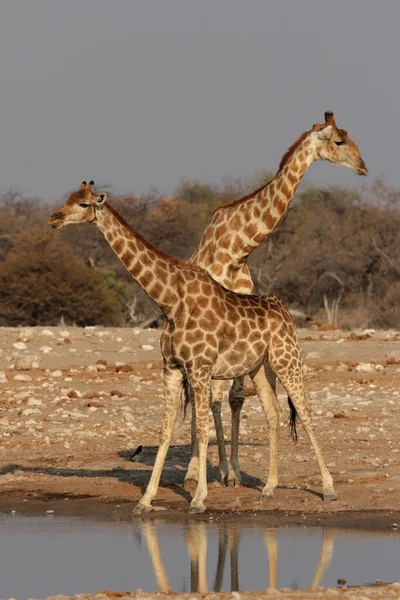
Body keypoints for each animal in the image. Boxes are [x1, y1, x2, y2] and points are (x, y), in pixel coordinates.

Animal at [49, 182, 338, 510]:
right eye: (69, 198)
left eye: (84, 204)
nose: (54, 218)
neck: (170, 303)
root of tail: (285, 310)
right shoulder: (171, 368)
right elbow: (165, 430)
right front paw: (146, 499)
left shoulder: (199, 368)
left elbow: (202, 429)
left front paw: (198, 498)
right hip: (259, 368)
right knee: (273, 411)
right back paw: (268, 488)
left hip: (287, 360)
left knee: (305, 411)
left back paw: (328, 488)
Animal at [186, 111, 368, 488]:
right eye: (339, 141)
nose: (363, 167)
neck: (236, 251)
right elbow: (213, 398)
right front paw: (209, 469)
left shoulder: (243, 319)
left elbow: (236, 397)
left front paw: (233, 471)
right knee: (199, 396)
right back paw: (195, 469)